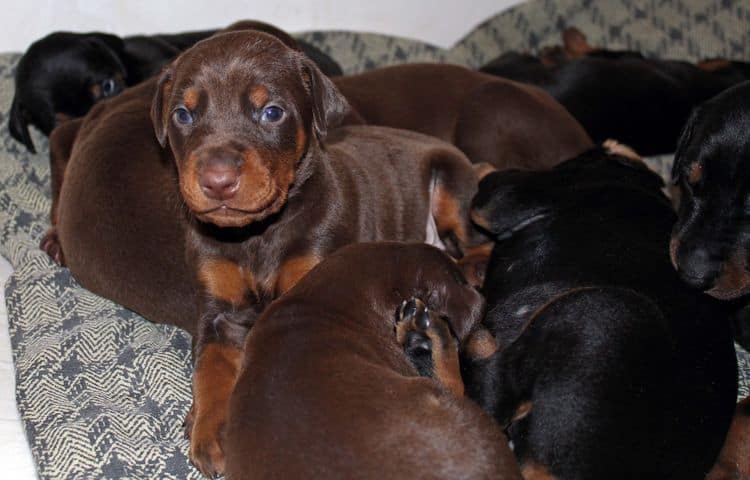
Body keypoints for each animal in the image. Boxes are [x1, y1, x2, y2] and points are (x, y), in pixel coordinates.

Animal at [152, 31, 490, 476]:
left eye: (272, 112)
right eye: (182, 115)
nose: (217, 181)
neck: (256, 235)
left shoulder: (312, 275)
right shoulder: (215, 308)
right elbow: (210, 364)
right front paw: (210, 428)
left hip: (451, 185)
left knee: (477, 242)